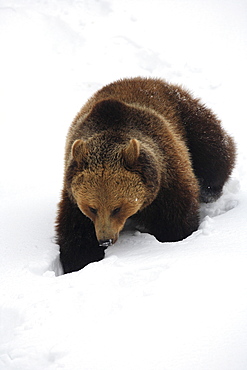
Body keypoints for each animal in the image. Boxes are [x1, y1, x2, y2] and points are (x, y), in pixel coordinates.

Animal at [56, 77, 235, 272]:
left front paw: (174, 238)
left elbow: (176, 220)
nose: (105, 240)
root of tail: (149, 79)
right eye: (92, 208)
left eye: (117, 208)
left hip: (187, 115)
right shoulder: (73, 196)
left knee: (213, 149)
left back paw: (210, 189)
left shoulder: (167, 179)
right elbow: (75, 235)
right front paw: (80, 261)